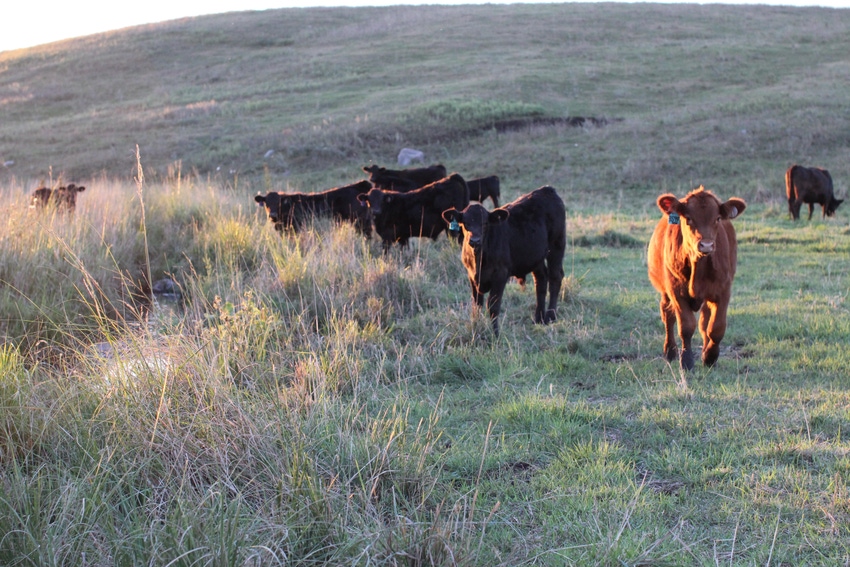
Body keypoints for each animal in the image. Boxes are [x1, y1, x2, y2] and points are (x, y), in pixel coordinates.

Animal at [440, 186, 568, 338]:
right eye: (465, 223)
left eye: (485, 223)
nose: (475, 240)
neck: (479, 261)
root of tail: (547, 189)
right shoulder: (471, 276)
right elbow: (477, 303)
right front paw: (476, 328)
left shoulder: (500, 274)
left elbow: (493, 305)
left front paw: (495, 334)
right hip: (536, 256)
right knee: (541, 280)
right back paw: (538, 318)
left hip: (557, 245)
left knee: (555, 277)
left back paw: (550, 316)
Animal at [644, 187, 744, 372]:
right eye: (688, 218)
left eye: (717, 218)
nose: (706, 245)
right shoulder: (676, 292)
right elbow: (686, 326)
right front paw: (687, 361)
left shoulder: (723, 291)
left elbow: (716, 327)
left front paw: (710, 357)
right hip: (665, 291)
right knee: (667, 315)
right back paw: (670, 351)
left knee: (704, 322)